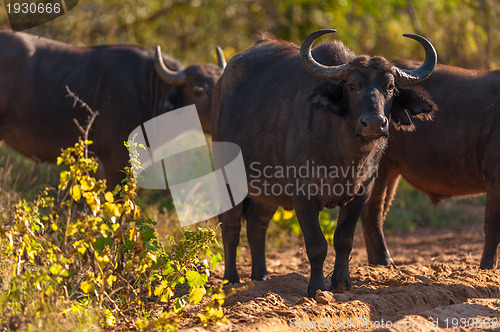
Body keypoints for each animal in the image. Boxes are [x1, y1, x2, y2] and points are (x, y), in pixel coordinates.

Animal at [211, 29, 438, 296]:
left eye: (390, 87)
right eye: (352, 85)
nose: (373, 123)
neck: (345, 157)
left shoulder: (363, 191)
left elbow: (343, 240)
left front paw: (342, 283)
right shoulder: (302, 193)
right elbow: (317, 245)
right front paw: (317, 288)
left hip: (269, 189)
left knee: (257, 223)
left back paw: (262, 277)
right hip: (227, 179)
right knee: (231, 225)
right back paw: (231, 279)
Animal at [362, 59, 500, 270]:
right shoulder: (495, 177)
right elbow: (492, 227)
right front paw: (487, 267)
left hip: (392, 170)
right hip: (380, 166)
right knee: (372, 211)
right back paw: (384, 262)